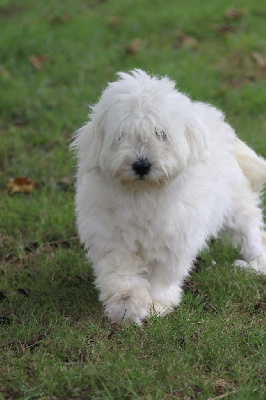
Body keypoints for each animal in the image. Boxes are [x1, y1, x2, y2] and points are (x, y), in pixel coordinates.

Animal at [71, 69, 266, 324]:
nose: (141, 165)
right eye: (123, 134)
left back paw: (255, 263)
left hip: (235, 204)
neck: (144, 194)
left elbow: (161, 276)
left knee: (250, 227)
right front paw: (127, 304)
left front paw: (158, 305)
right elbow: (121, 271)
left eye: (160, 134)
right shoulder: (111, 239)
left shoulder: (174, 242)